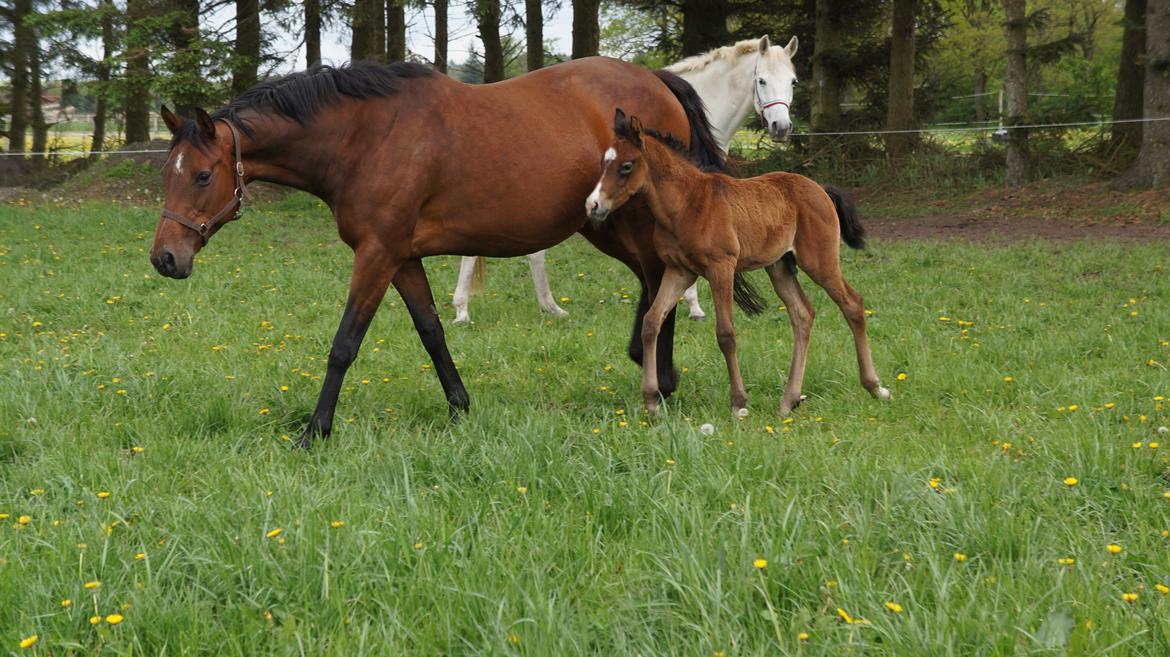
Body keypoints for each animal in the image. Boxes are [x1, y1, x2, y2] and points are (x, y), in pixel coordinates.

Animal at [585, 107, 884, 413]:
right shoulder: (679, 270)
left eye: (626, 166)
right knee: (802, 314)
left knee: (852, 304)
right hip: (780, 267)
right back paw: (789, 400)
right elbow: (651, 322)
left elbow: (726, 333)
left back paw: (875, 386)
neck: (687, 203)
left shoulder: (721, 268)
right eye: (604, 162)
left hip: (819, 262)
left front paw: (739, 403)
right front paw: (650, 401)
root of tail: (821, 189)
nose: (593, 205)